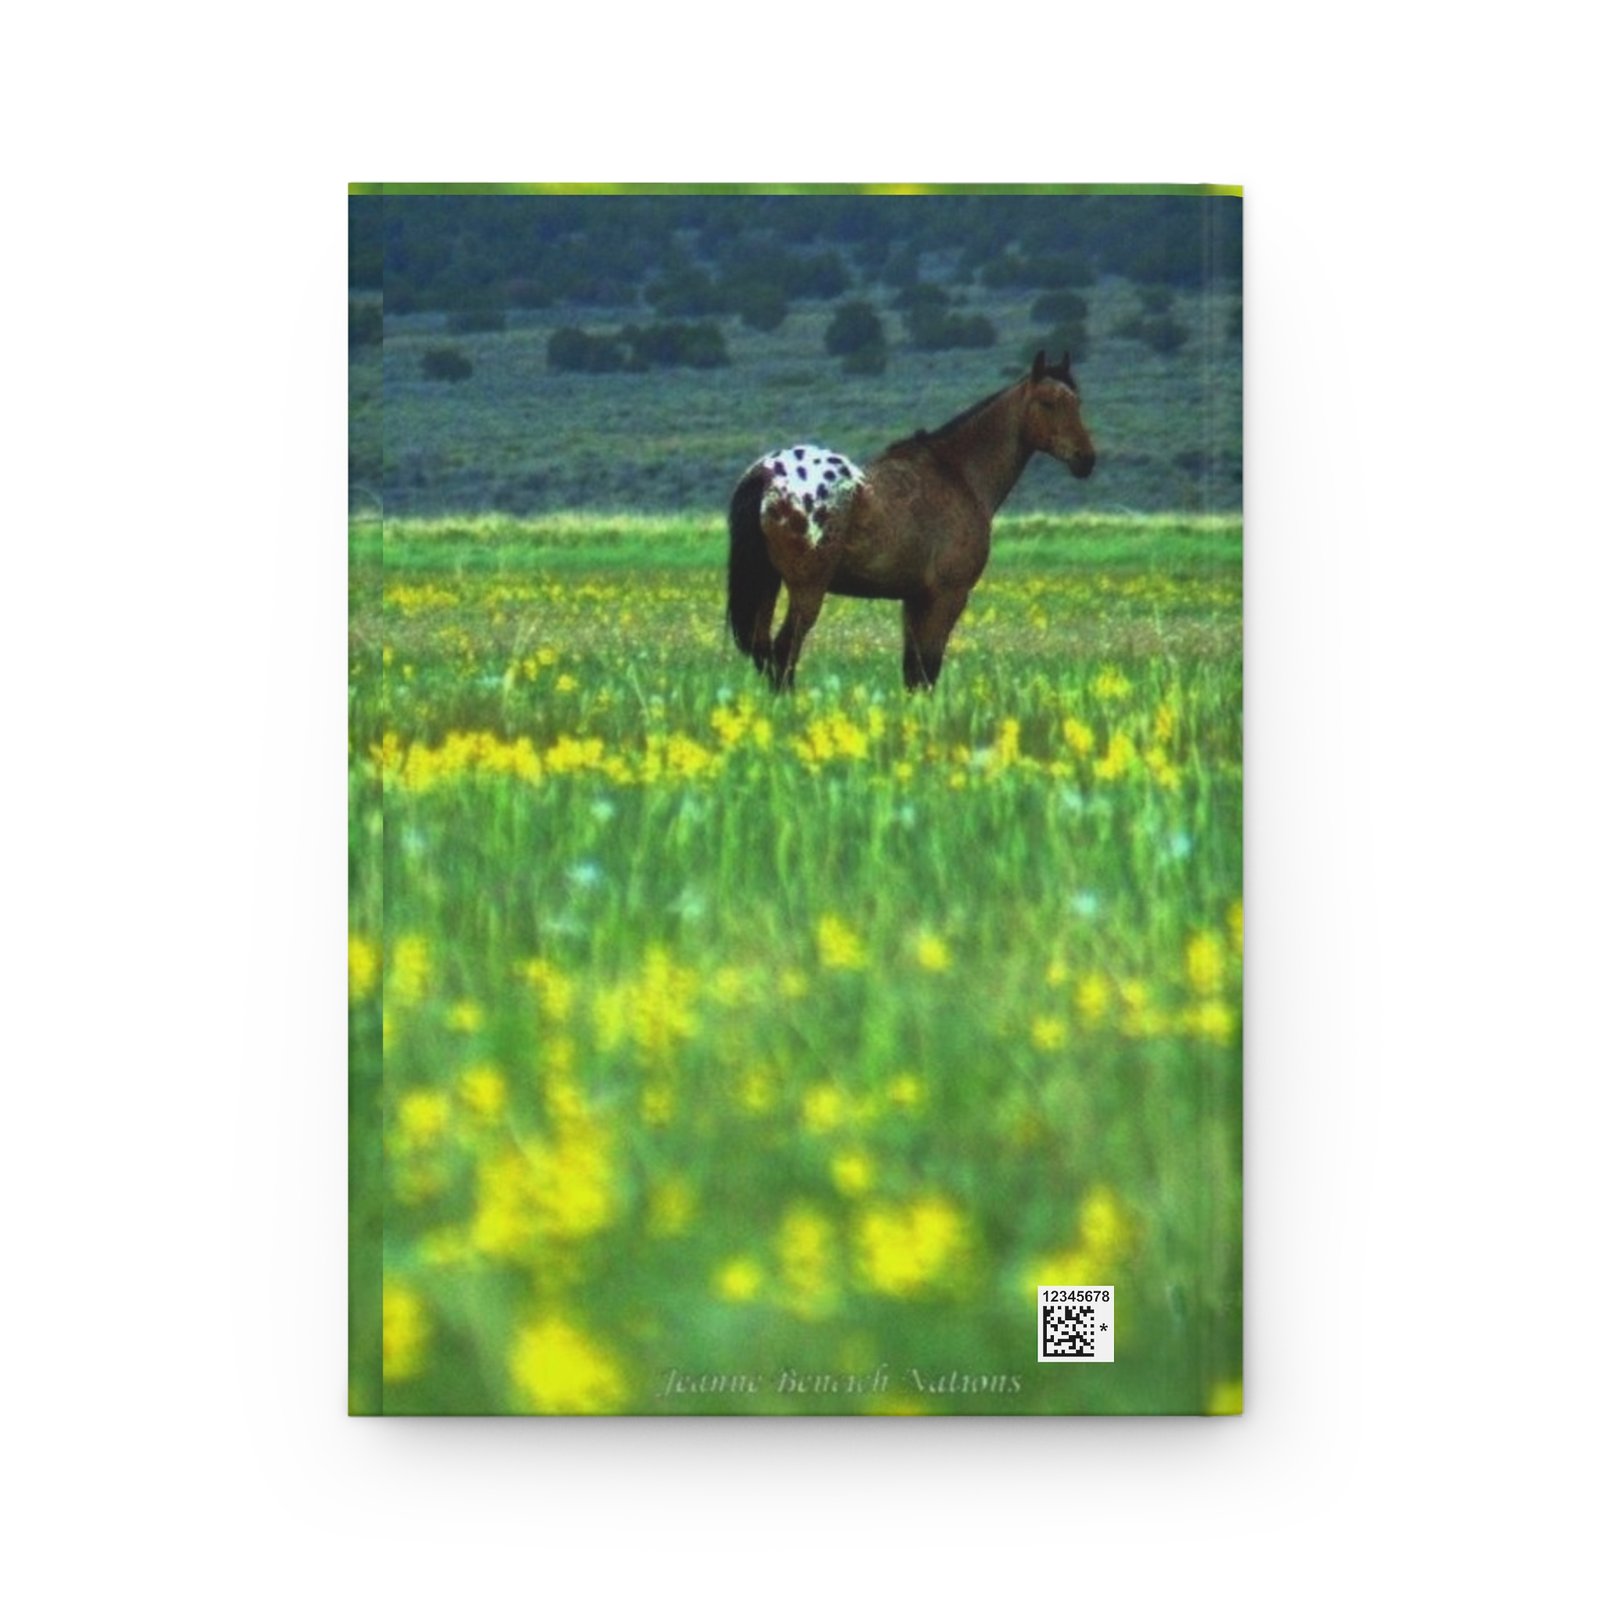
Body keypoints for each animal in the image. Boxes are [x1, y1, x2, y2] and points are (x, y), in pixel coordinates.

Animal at [726, 350, 1095, 691]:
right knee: (784, 653)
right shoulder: (946, 597)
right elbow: (927, 671)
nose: (1086, 459)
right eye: (1048, 402)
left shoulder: (914, 600)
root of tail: (767, 474)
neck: (958, 475)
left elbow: (913, 673)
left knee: (764, 651)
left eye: (1077, 402)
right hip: (807, 590)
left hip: (768, 584)